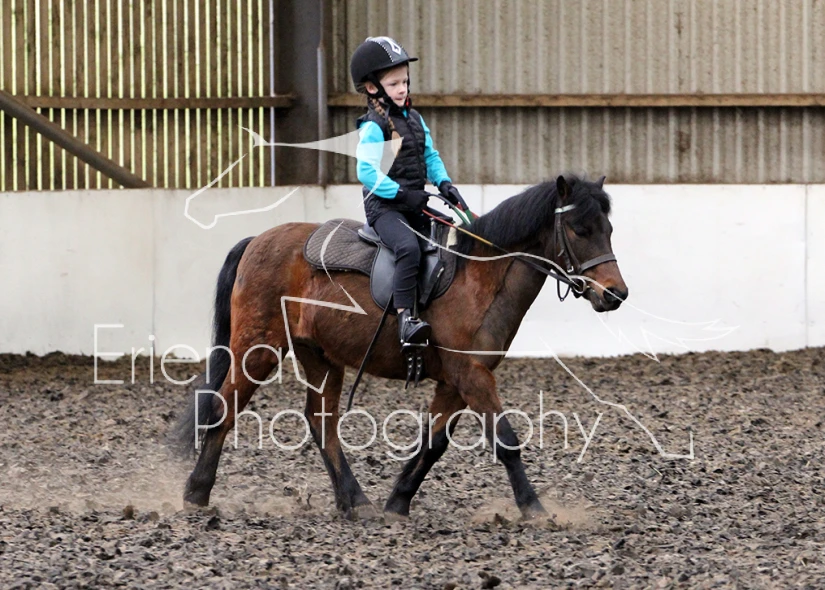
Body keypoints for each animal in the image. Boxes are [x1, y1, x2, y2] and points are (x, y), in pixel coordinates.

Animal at [170, 174, 628, 520]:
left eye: (608, 229)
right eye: (580, 230)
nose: (615, 295)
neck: (478, 277)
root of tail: (256, 241)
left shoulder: (456, 381)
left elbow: (433, 443)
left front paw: (397, 502)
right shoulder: (472, 377)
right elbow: (505, 440)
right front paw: (535, 509)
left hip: (320, 357)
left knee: (321, 422)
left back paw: (356, 502)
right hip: (258, 350)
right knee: (224, 408)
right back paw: (196, 493)